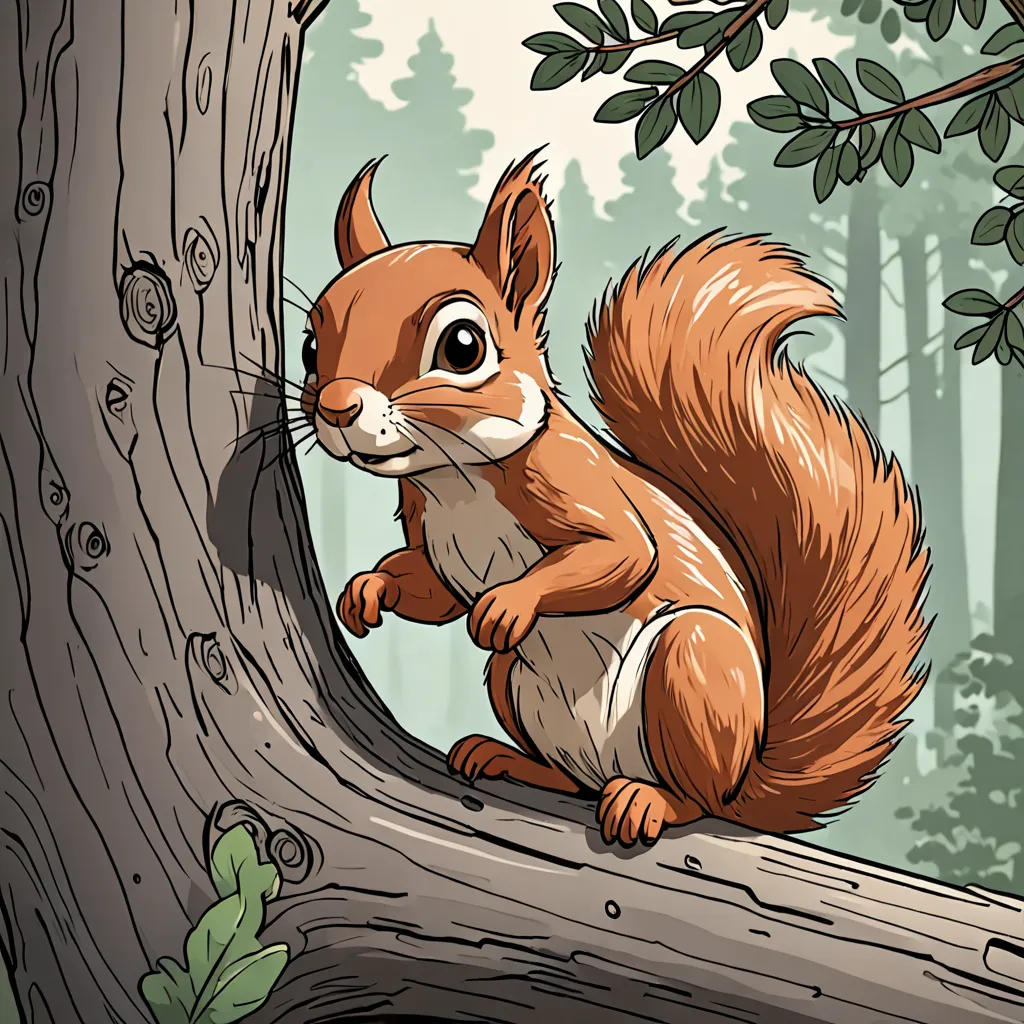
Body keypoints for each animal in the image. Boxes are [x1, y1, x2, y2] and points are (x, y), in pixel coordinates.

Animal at [302, 150, 931, 848]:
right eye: (310, 344)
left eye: (463, 346)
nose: (337, 407)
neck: (456, 482)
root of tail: (747, 782)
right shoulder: (433, 540)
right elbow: (432, 591)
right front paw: (367, 590)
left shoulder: (574, 482)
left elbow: (625, 554)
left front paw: (507, 604)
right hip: (511, 680)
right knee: (570, 777)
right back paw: (506, 760)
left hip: (693, 665)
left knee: (696, 798)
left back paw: (649, 801)